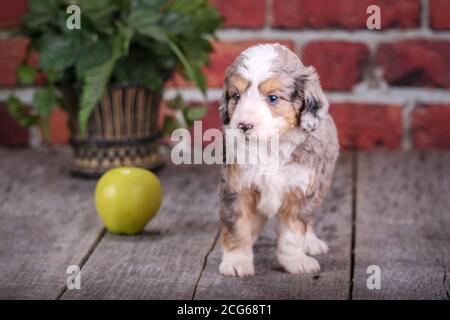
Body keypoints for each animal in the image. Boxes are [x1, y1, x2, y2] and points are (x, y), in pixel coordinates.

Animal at [217, 43, 338, 276]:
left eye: (273, 98)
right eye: (236, 95)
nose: (243, 126)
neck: (271, 147)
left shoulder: (301, 190)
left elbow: (293, 232)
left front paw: (295, 261)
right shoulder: (237, 187)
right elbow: (237, 226)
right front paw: (236, 261)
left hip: (321, 185)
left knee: (309, 218)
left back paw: (311, 242)